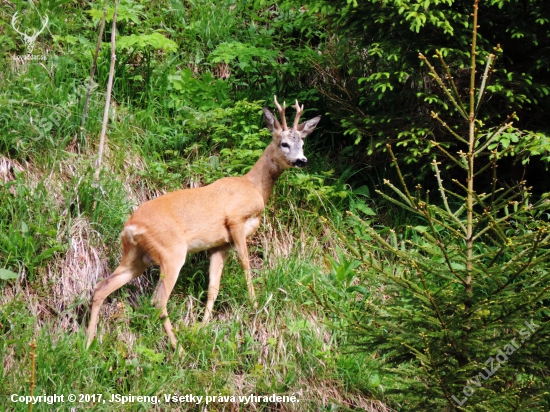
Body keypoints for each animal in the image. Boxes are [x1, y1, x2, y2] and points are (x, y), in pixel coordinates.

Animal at [84, 96, 322, 348]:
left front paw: (203, 325)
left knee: (101, 288)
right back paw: (177, 348)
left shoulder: (220, 245)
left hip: (136, 256)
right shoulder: (235, 219)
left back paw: (87, 343)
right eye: (284, 143)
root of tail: (130, 227)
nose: (302, 160)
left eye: (302, 143)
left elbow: (213, 287)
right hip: (171, 251)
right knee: (158, 300)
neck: (254, 187)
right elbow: (246, 264)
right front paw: (255, 304)